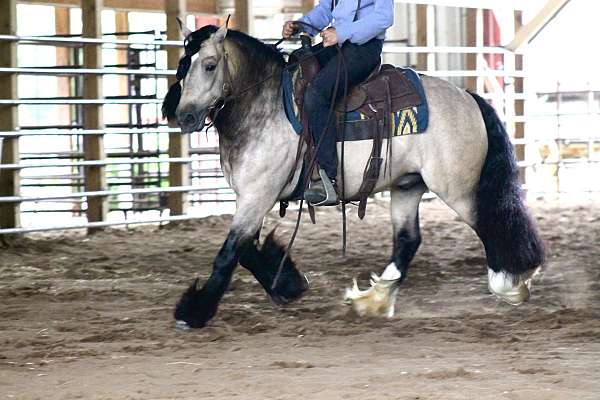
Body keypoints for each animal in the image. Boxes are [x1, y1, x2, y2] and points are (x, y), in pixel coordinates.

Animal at [163, 20, 544, 330]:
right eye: (183, 65)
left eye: (210, 65)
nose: (185, 116)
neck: (264, 105)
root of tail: (468, 98)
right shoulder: (251, 196)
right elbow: (245, 252)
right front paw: (290, 284)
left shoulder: (258, 195)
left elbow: (229, 254)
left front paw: (193, 313)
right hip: (408, 186)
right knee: (408, 241)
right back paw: (373, 300)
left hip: (458, 190)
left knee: (492, 226)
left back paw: (510, 285)